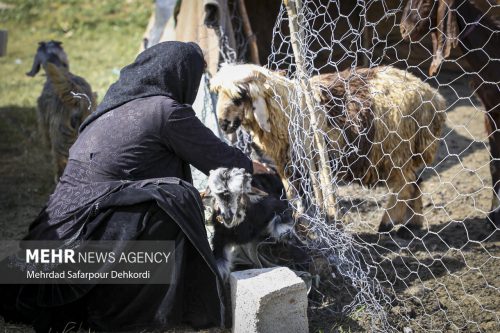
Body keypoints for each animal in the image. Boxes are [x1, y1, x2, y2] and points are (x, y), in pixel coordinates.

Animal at [211, 63, 446, 232]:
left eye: (239, 97)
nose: (223, 124)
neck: (287, 108)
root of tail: (432, 97)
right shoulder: (286, 164)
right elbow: (293, 194)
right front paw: (300, 220)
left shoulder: (309, 162)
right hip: (408, 150)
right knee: (416, 182)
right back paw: (412, 225)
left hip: (396, 149)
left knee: (404, 185)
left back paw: (387, 223)